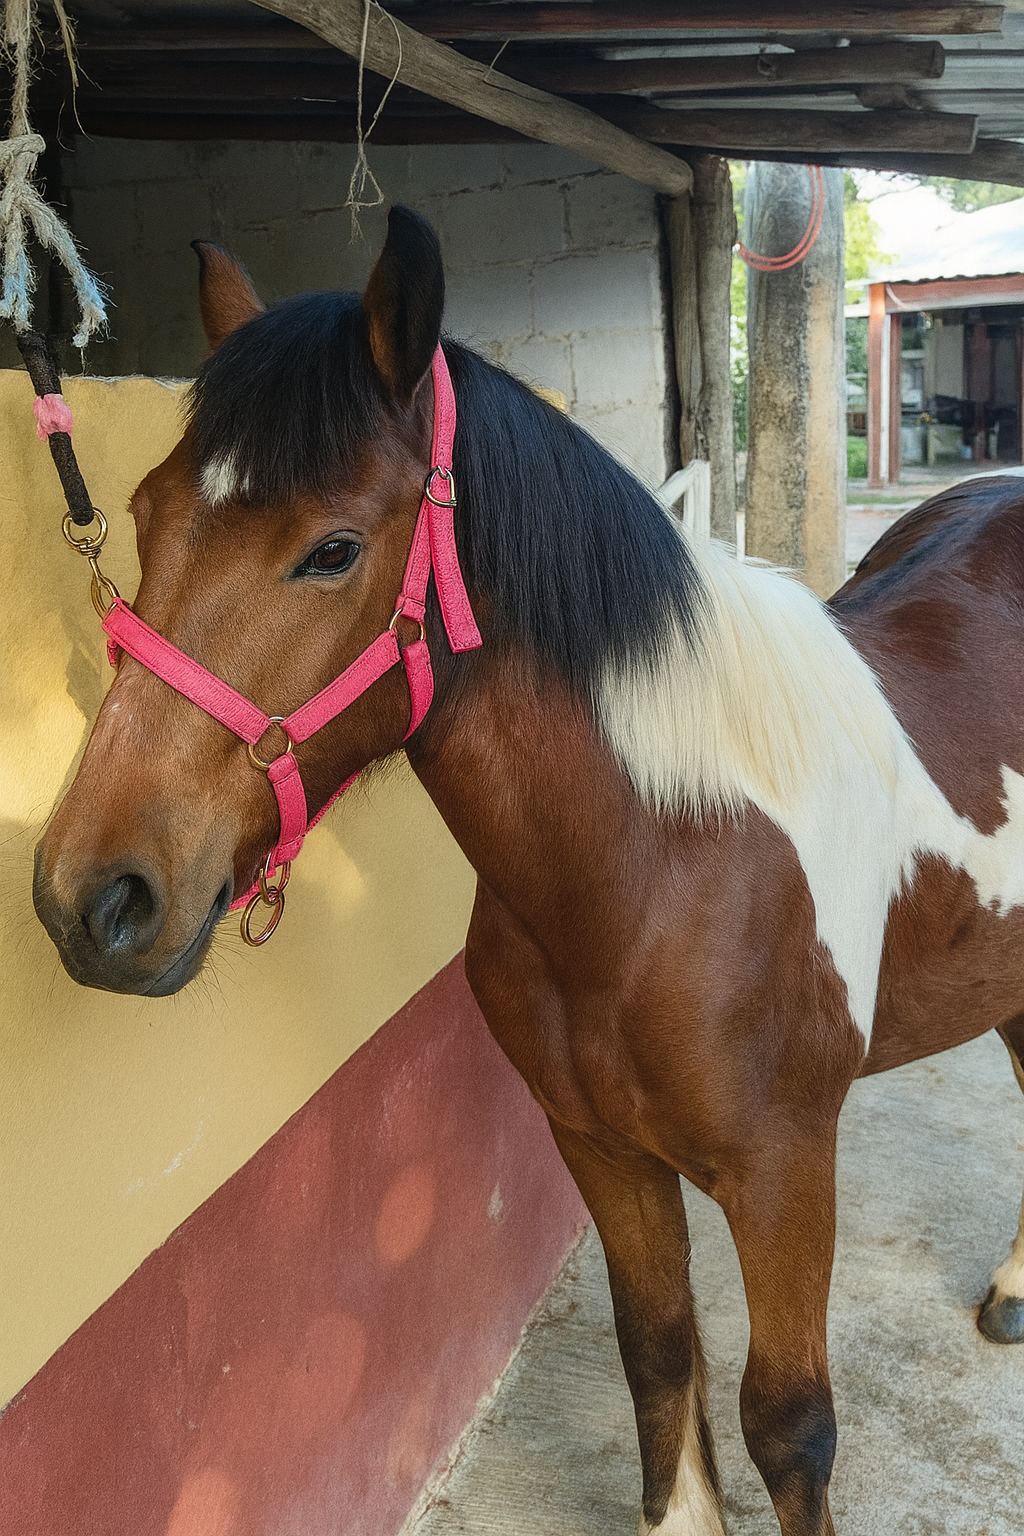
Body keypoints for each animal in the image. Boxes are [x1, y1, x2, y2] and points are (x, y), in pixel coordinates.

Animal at [33, 205, 1024, 1536]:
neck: (662, 859)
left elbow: (788, 1424)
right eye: (143, 512)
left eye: (331, 550)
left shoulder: (783, 1171)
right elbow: (656, 1349)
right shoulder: (596, 1147)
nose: (93, 896)